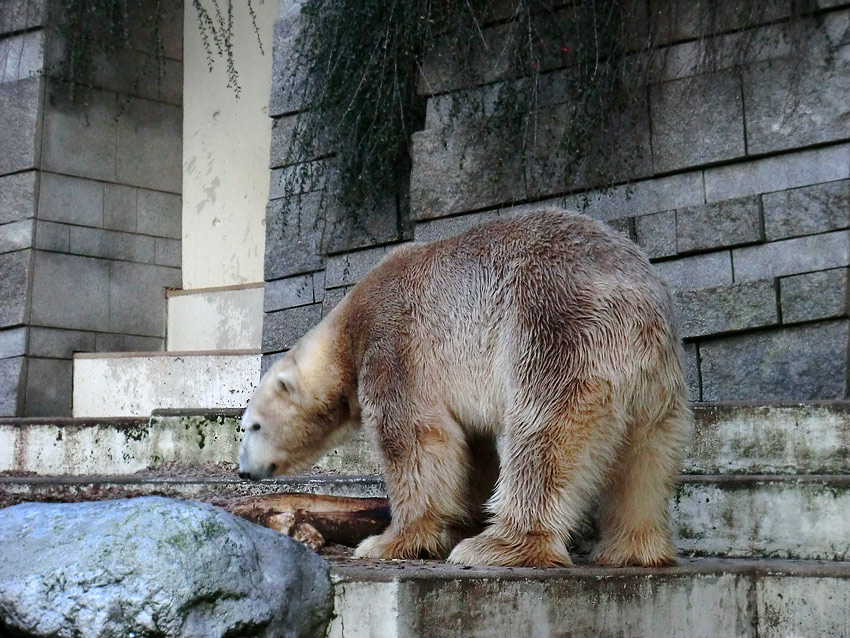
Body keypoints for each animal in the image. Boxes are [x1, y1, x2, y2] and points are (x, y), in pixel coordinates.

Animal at [238, 210, 688, 568]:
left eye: (252, 426)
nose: (243, 471)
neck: (349, 330)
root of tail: (637, 299)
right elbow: (470, 449)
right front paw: (458, 522)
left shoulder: (395, 346)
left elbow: (415, 441)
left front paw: (388, 542)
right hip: (656, 378)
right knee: (646, 454)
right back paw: (633, 549)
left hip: (556, 331)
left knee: (544, 434)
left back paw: (497, 546)